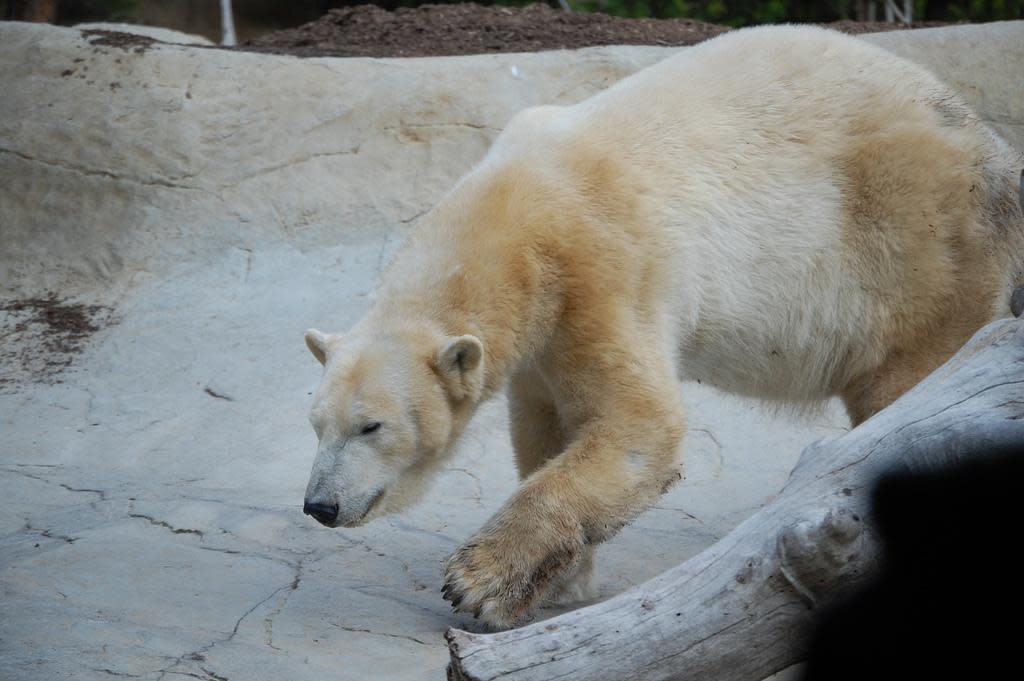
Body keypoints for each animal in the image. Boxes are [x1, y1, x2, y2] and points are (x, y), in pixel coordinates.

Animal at [299, 27, 1019, 630]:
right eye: (318, 424)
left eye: (372, 426)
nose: (319, 505)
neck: (514, 216)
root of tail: (995, 152)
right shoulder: (540, 341)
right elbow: (544, 428)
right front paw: (557, 581)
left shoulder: (600, 273)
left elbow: (640, 427)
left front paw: (479, 580)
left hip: (916, 241)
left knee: (907, 383)